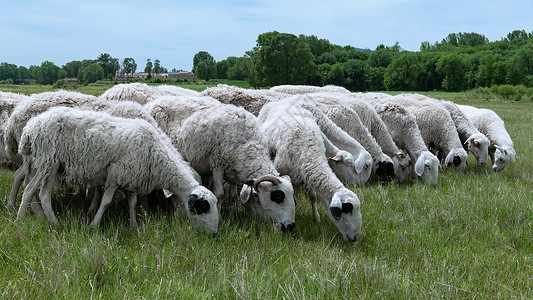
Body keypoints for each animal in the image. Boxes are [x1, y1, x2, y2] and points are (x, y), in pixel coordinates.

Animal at [17, 107, 218, 232]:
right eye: (203, 207)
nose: (214, 233)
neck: (155, 155)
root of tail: (30, 127)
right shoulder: (115, 175)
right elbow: (105, 202)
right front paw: (93, 225)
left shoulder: (133, 176)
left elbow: (132, 202)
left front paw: (134, 226)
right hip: (49, 161)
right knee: (36, 192)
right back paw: (43, 221)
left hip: (48, 164)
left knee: (35, 191)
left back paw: (33, 219)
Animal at [143, 95, 298, 231]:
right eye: (278, 197)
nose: (290, 227)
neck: (247, 143)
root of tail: (153, 102)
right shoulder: (217, 163)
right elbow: (219, 194)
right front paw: (221, 219)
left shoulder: (235, 171)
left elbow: (232, 196)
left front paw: (232, 216)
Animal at [256, 97, 362, 243]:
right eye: (347, 209)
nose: (356, 237)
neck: (308, 148)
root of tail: (282, 100)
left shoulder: (307, 174)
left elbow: (313, 196)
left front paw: (316, 218)